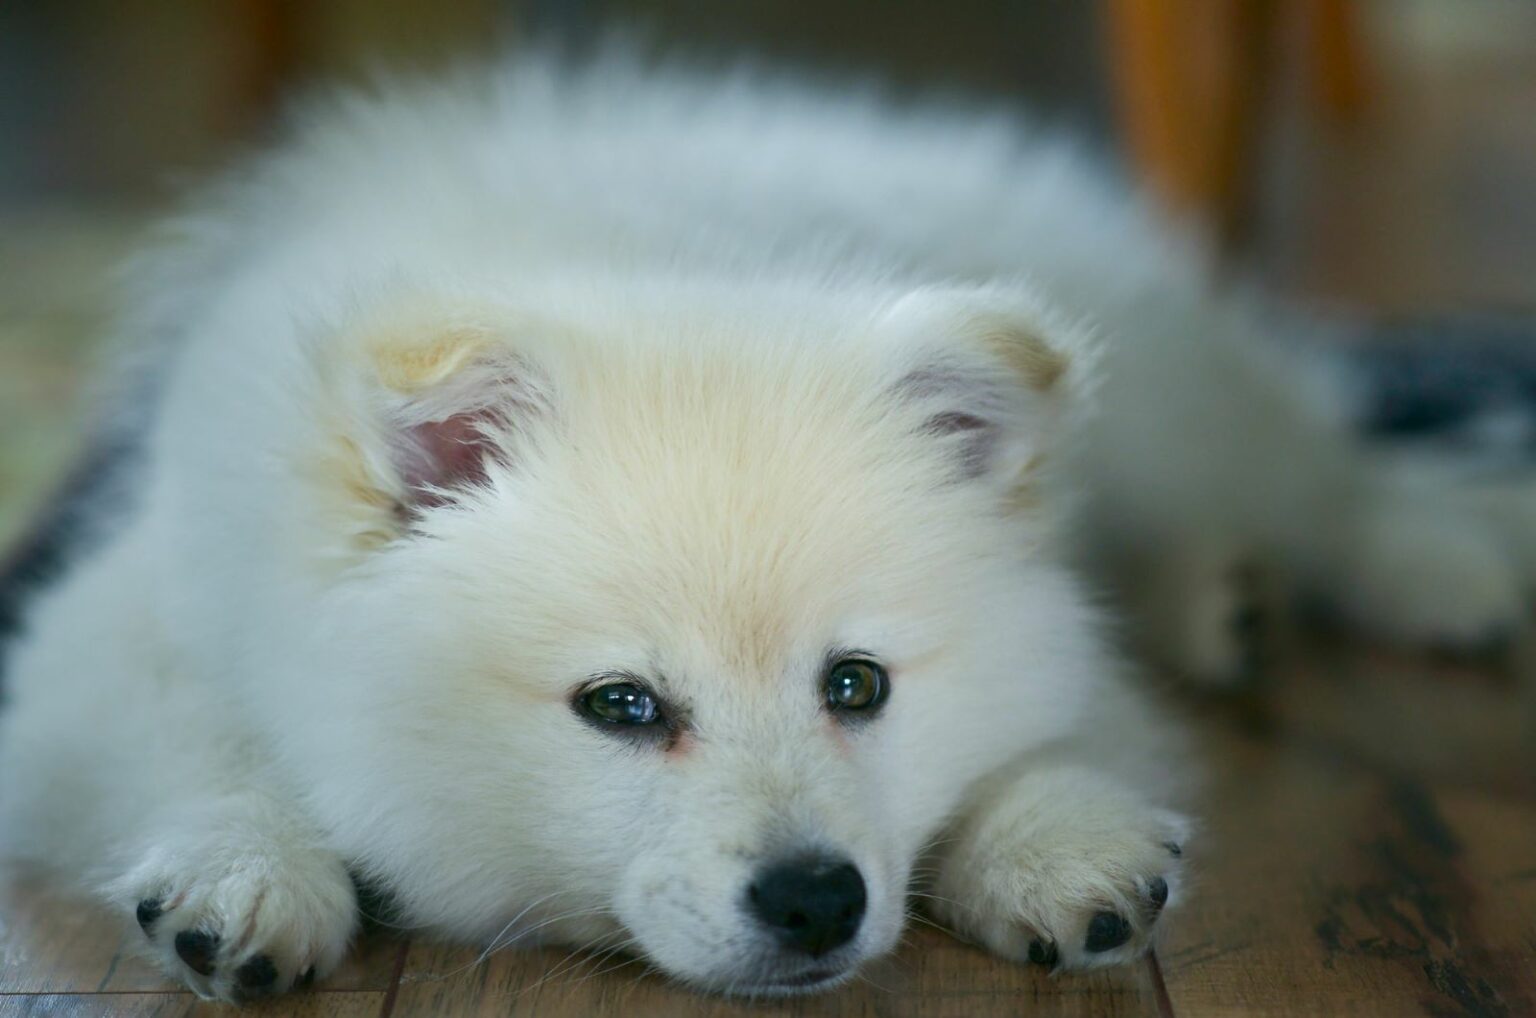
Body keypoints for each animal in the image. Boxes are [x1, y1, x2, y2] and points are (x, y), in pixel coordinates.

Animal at [0, 49, 1517, 1001]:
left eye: (857, 684)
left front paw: (1053, 839)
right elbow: (196, 744)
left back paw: (1442, 564)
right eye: (621, 704)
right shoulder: (110, 638)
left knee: (1314, 464)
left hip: (1167, 399)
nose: (815, 899)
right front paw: (245, 876)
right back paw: (1226, 600)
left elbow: (1071, 720)